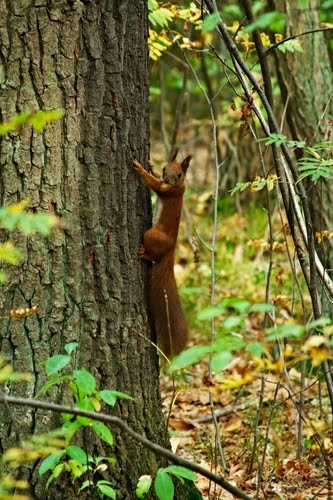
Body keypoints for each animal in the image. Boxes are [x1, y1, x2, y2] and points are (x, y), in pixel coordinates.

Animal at [131, 150, 191, 358]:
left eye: (179, 174)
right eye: (165, 167)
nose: (168, 178)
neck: (179, 186)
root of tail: (170, 251)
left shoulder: (167, 190)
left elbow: (154, 184)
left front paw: (140, 168)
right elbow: (156, 179)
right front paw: (150, 165)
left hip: (151, 235)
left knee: (152, 255)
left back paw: (144, 254)